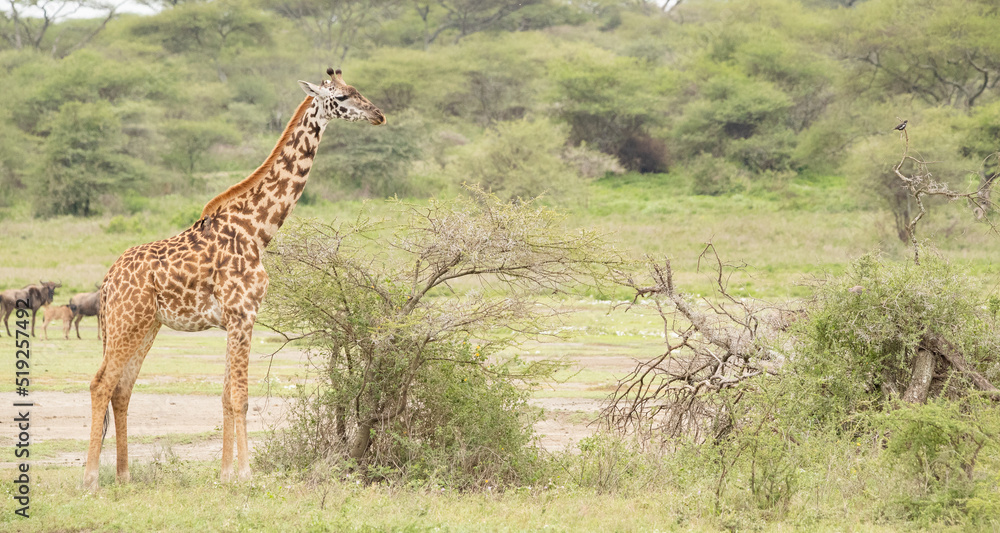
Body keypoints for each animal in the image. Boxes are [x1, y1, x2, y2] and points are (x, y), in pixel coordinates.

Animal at [82, 68, 385, 490]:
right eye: (341, 96)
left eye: (357, 90)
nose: (378, 114)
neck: (257, 229)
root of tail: (108, 279)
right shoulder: (244, 315)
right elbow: (241, 396)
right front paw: (246, 473)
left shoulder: (232, 321)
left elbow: (226, 396)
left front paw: (225, 474)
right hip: (127, 322)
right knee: (101, 384)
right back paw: (91, 478)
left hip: (145, 325)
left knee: (122, 389)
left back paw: (124, 476)